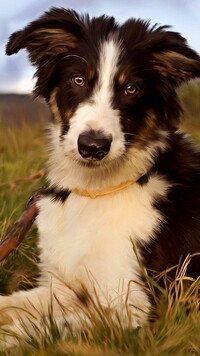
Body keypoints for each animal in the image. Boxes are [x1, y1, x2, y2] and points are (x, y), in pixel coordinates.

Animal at [0, 6, 200, 340]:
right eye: (78, 79)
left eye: (131, 88)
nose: (93, 147)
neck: (96, 191)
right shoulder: (61, 287)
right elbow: (12, 304)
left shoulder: (140, 308)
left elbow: (40, 327)